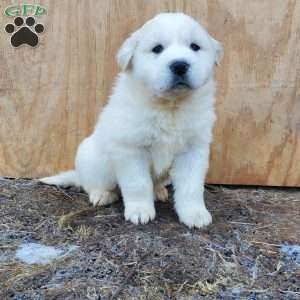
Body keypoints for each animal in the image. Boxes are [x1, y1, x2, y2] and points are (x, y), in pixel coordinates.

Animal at [40, 11, 223, 227]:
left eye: (195, 46)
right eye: (157, 49)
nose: (179, 65)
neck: (169, 106)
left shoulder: (193, 150)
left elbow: (191, 187)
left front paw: (194, 214)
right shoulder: (131, 149)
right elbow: (138, 184)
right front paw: (140, 211)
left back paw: (158, 192)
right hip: (93, 159)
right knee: (92, 184)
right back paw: (102, 194)